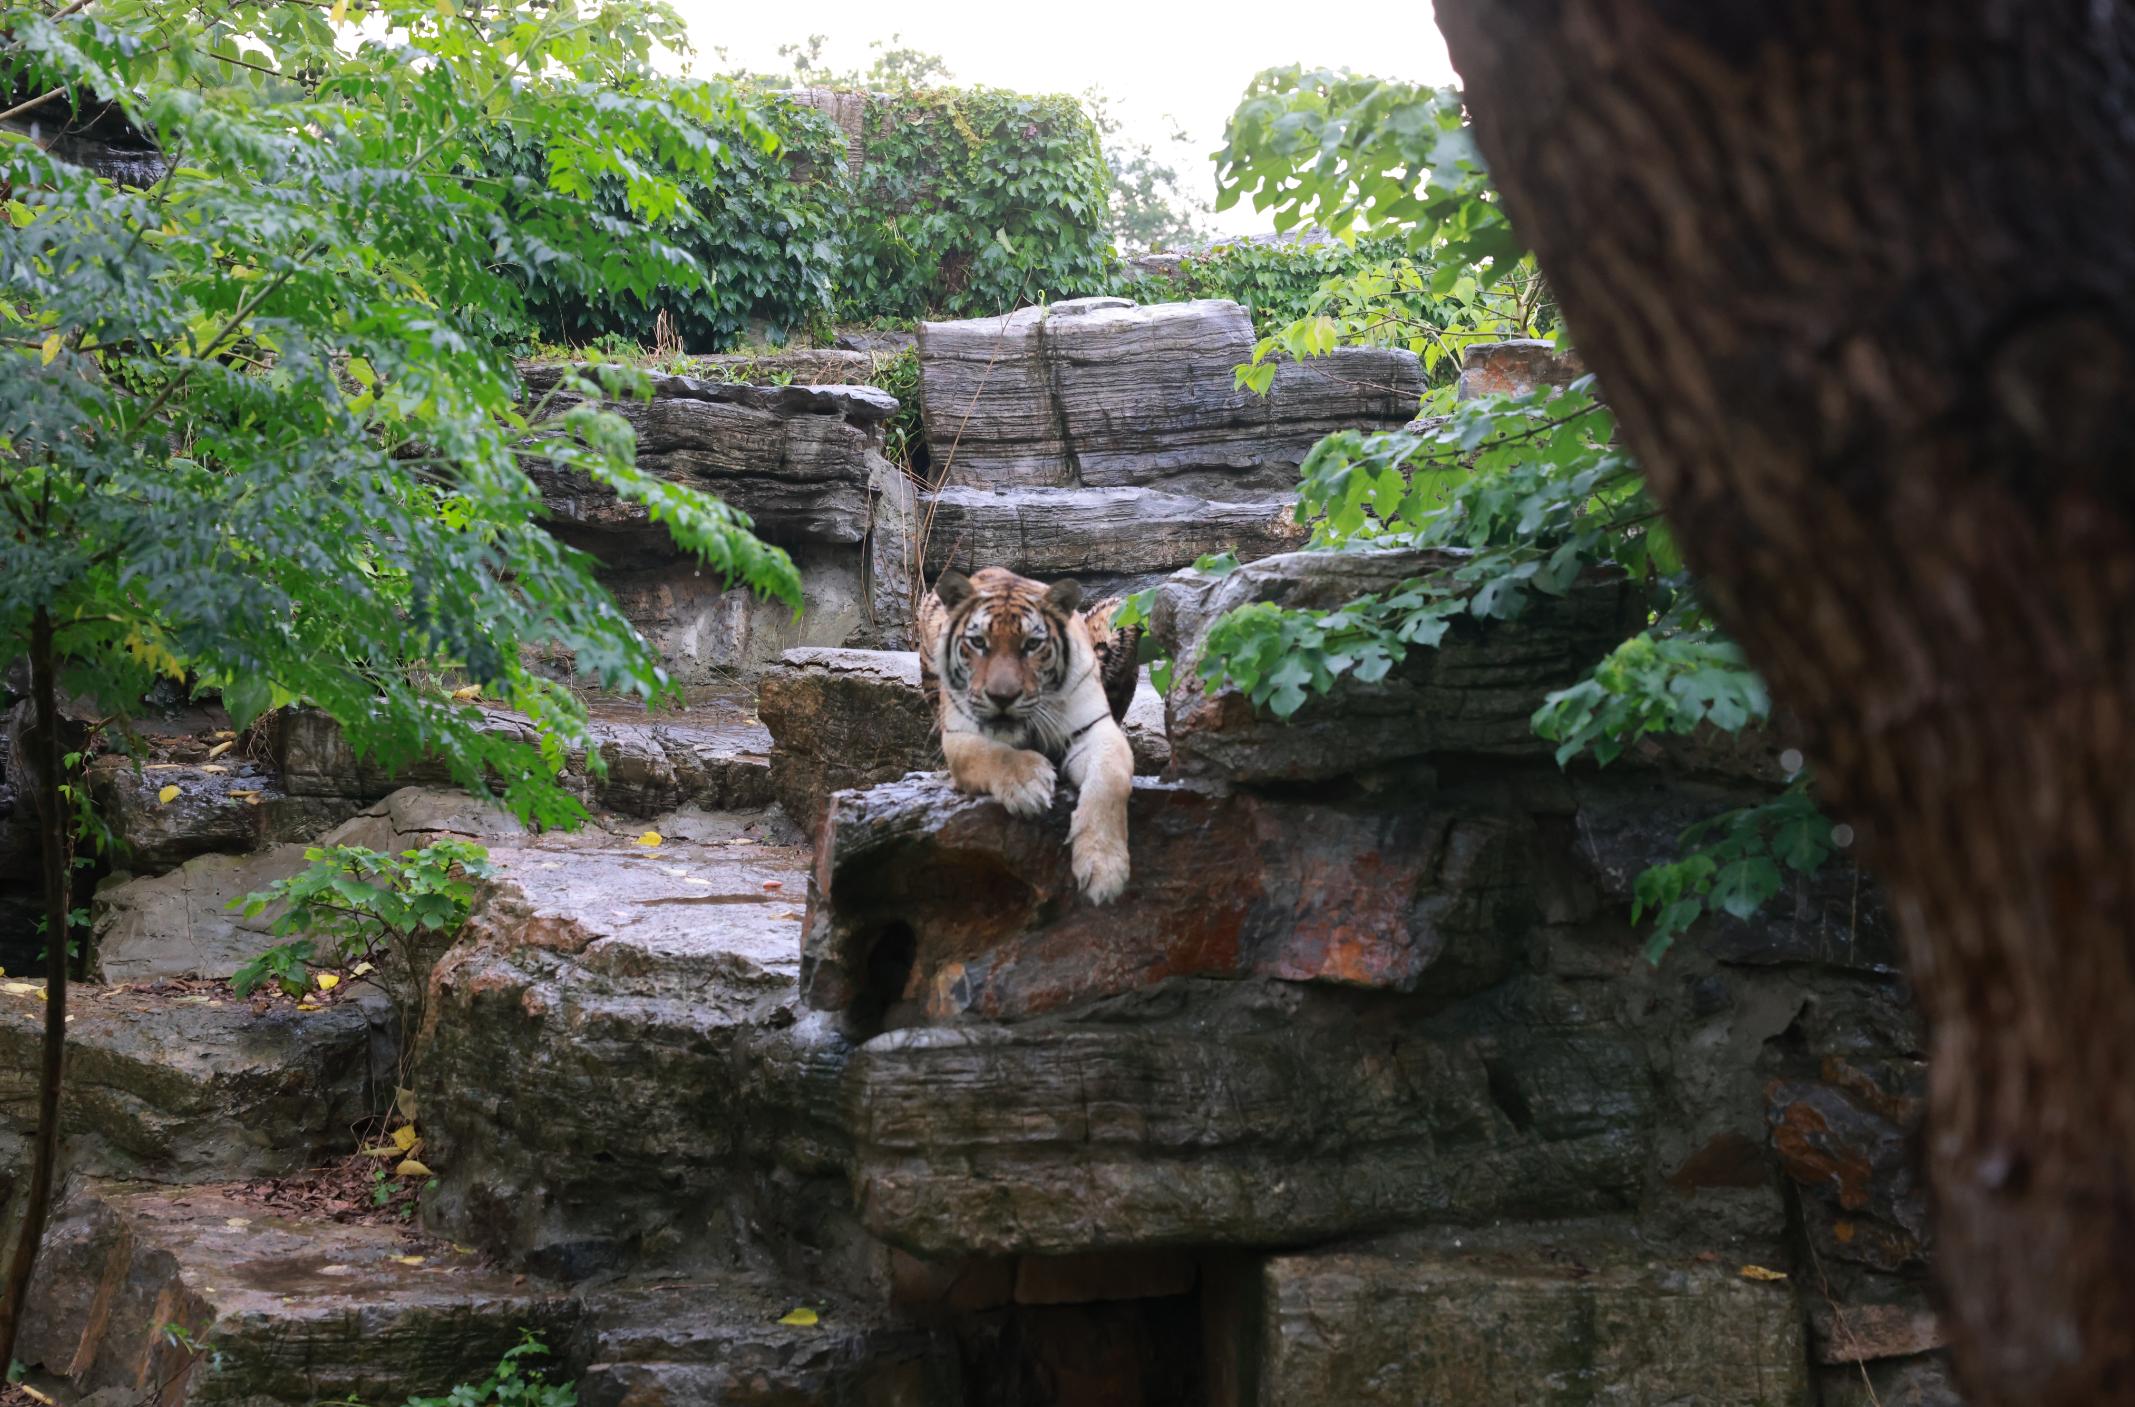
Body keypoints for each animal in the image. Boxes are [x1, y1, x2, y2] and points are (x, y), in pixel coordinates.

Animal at [917, 566, 1142, 904]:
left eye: (1032, 645)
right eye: (978, 642)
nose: (1002, 697)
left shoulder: (1095, 730)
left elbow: (1109, 782)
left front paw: (1104, 868)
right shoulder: (959, 735)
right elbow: (994, 754)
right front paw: (1028, 787)